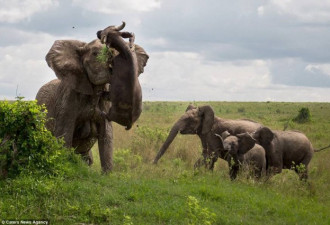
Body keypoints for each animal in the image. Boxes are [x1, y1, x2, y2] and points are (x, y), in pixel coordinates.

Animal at [36, 22, 148, 172]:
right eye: (95, 54)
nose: (101, 32)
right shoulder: (68, 99)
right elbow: (64, 134)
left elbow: (107, 136)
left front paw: (107, 174)